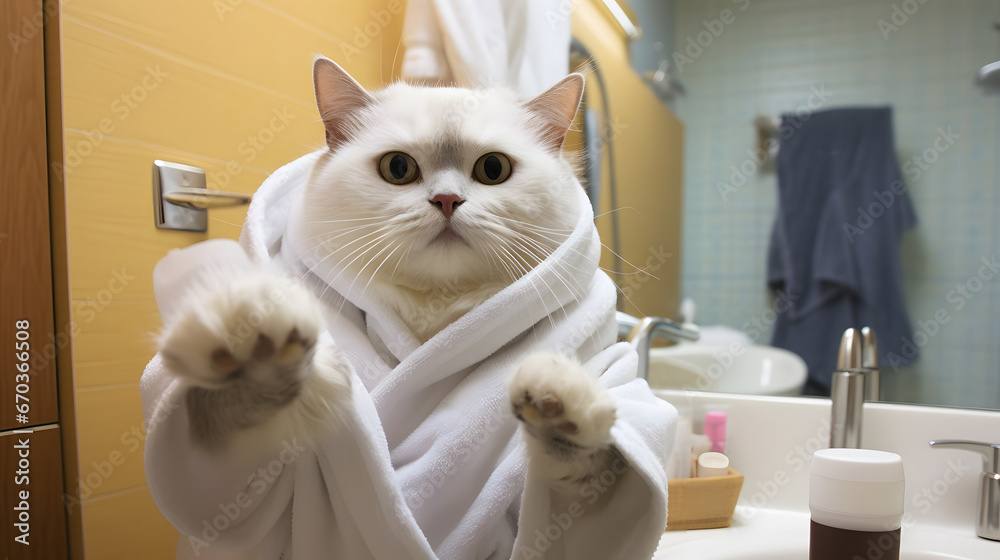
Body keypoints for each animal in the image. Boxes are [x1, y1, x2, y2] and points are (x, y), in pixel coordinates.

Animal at [159, 57, 620, 498]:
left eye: (493, 168)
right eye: (398, 167)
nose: (447, 200)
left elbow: (592, 464)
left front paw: (557, 395)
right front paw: (253, 341)